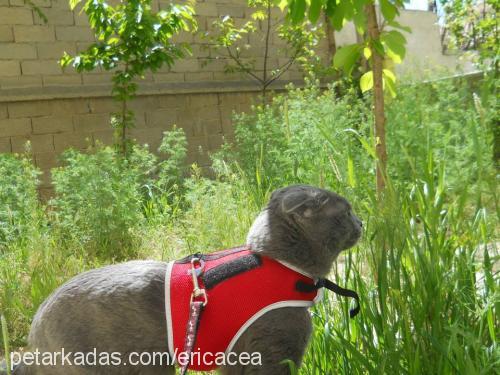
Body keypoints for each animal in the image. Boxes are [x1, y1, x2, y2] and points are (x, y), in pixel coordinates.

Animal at [9, 184, 362, 374]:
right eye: (346, 212)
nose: (361, 221)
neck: (281, 266)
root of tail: (33, 336)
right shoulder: (272, 351)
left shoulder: (237, 358)